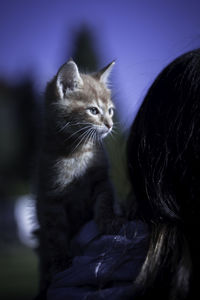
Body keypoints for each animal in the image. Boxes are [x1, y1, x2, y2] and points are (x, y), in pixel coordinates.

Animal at [35, 59, 118, 298]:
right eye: (93, 110)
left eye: (110, 111)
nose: (110, 124)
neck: (77, 152)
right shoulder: (50, 198)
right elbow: (55, 233)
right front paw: (61, 260)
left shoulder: (102, 180)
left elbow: (105, 200)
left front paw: (108, 221)